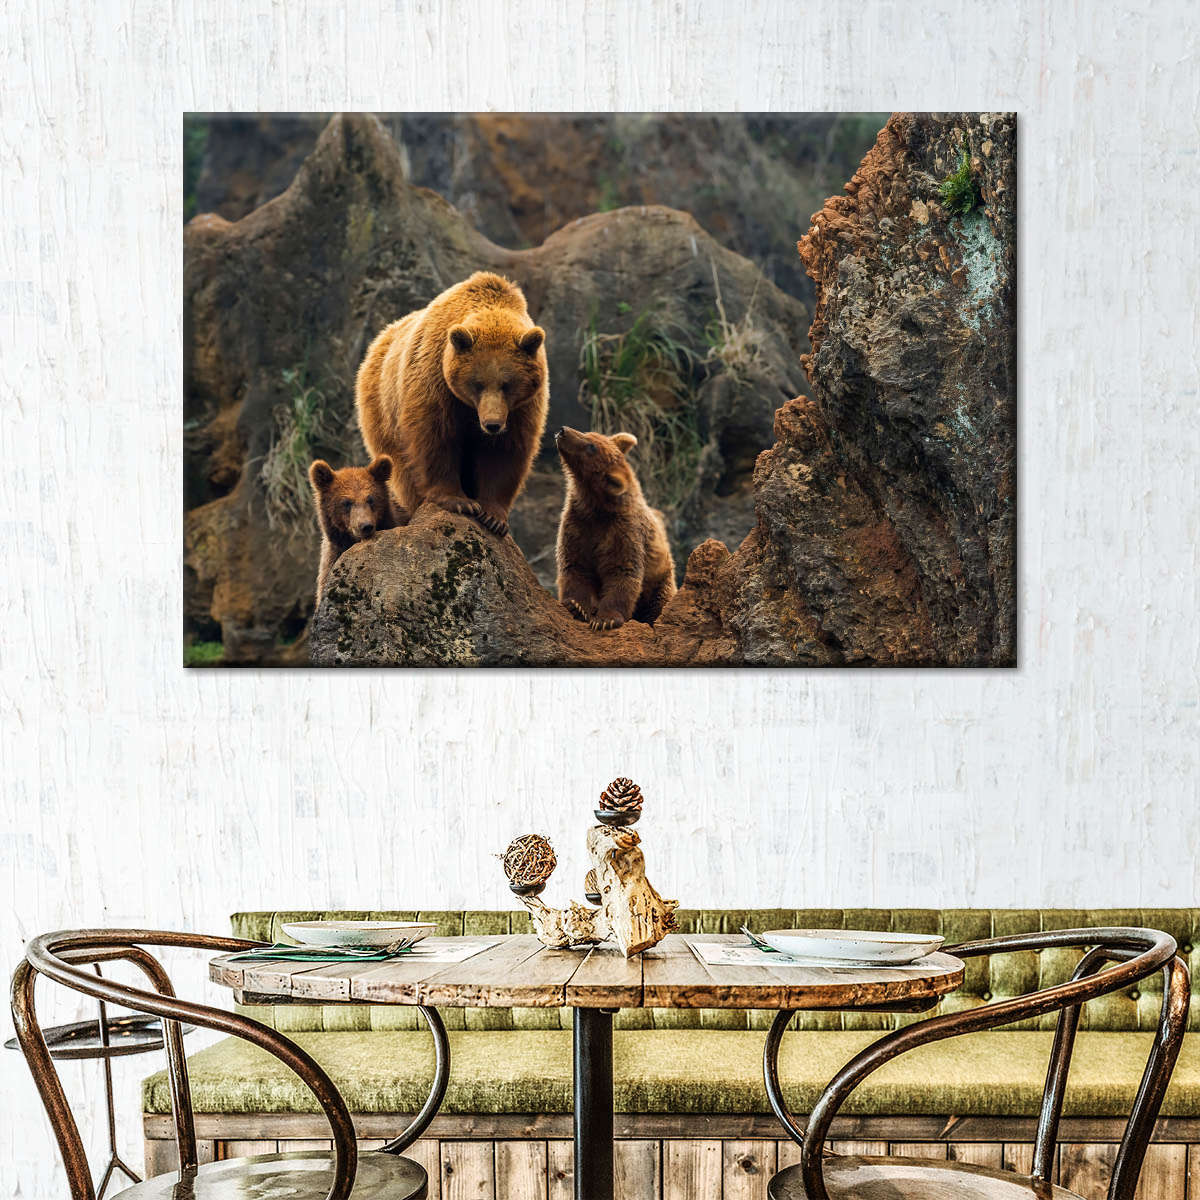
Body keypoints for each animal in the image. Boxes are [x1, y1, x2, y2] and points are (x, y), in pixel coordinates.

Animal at [355, 271, 549, 539]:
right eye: (477, 383)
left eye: (507, 384)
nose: (492, 424)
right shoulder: (435, 381)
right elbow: (436, 437)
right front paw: (460, 502)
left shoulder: (522, 408)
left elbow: (505, 451)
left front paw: (493, 516)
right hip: (383, 411)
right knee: (403, 468)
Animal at [554, 426, 677, 631]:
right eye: (589, 434)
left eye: (591, 446)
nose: (563, 431)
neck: (596, 507)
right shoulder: (577, 524)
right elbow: (575, 565)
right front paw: (576, 606)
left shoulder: (623, 532)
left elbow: (622, 572)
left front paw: (605, 620)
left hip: (660, 580)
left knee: (659, 604)